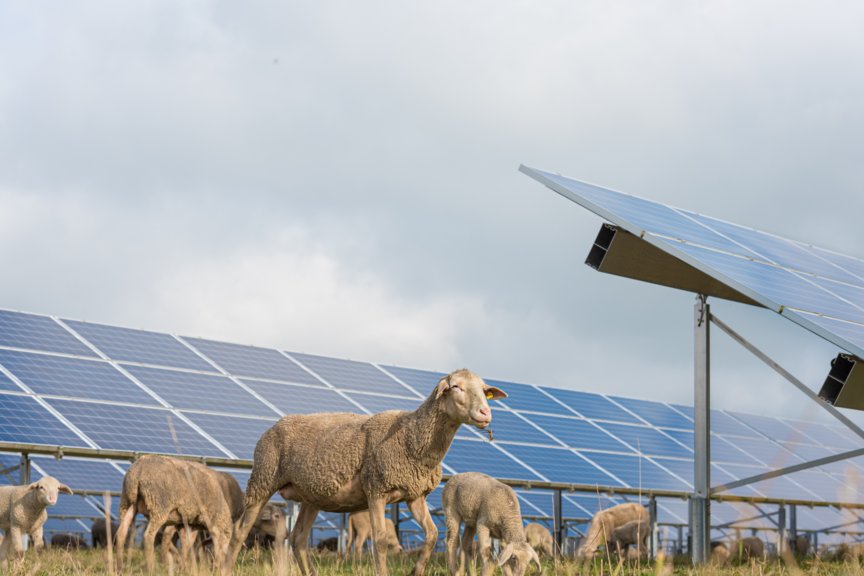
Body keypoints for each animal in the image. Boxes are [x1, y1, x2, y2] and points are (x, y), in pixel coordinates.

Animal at [224, 368, 506, 576]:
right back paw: (225, 568)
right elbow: (379, 540)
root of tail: (273, 426)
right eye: (456, 387)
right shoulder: (376, 490)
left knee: (298, 539)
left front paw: (415, 571)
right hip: (263, 480)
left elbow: (432, 534)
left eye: (484, 390)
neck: (412, 436)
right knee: (239, 533)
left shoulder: (415, 495)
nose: (485, 412)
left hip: (311, 495)